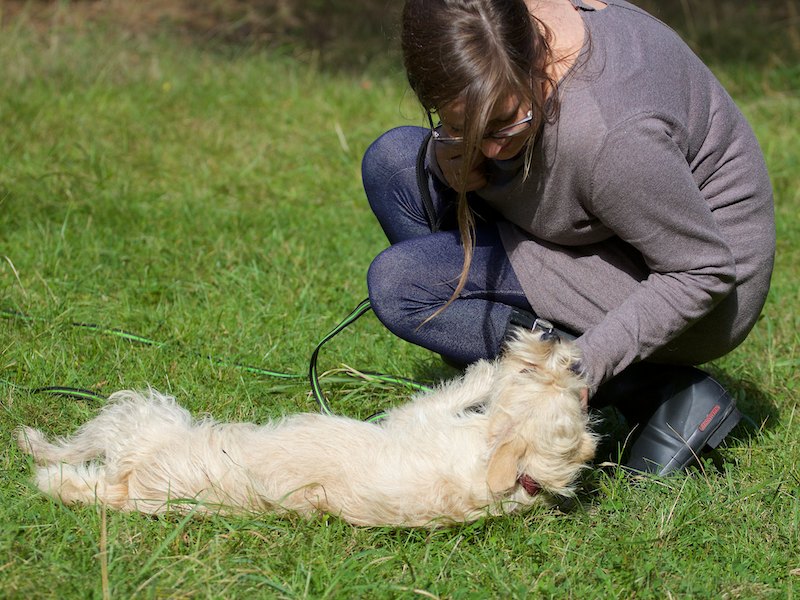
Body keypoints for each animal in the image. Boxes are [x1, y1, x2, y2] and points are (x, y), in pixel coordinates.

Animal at [17, 328, 597, 527]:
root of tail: (132, 490)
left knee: (74, 451)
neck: (519, 475)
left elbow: (449, 394)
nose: (558, 343)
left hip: (141, 416)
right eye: (541, 373)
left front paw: (484, 373)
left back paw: (34, 448)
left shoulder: (415, 419)